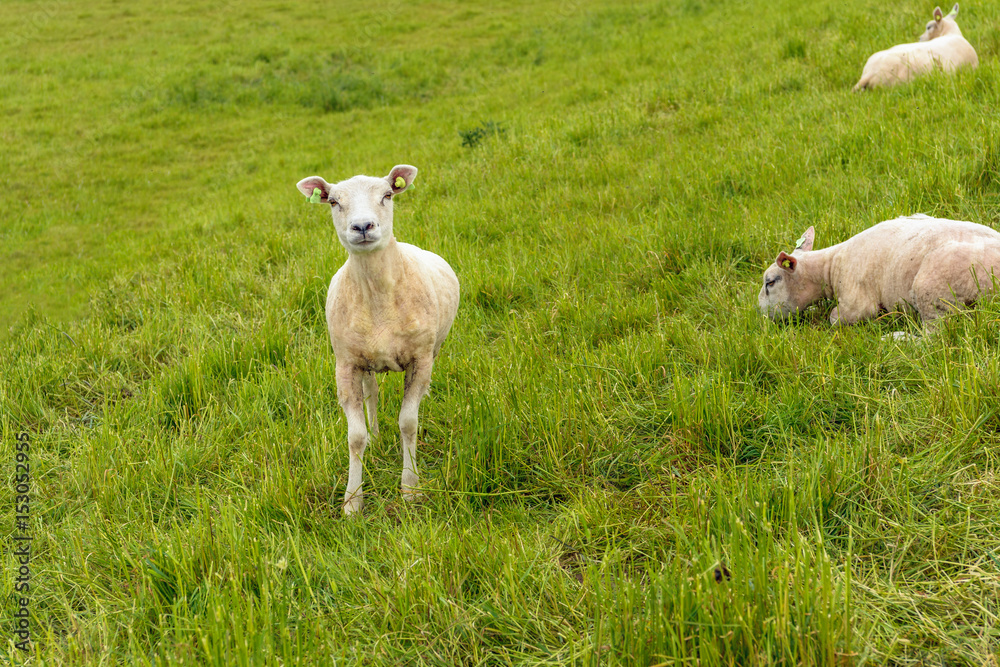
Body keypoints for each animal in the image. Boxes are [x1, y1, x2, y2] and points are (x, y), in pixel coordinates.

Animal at [297, 165, 460, 515]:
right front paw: (352, 501)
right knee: (371, 392)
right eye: (333, 202)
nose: (362, 226)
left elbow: (408, 422)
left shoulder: (420, 358)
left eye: (387, 195)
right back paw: (375, 434)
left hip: (435, 348)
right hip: (365, 361)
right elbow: (354, 437)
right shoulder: (345, 365)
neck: (378, 296)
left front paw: (410, 488)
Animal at [758, 214, 1000, 333]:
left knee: (935, 334)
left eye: (770, 282)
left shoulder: (857, 303)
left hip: (932, 286)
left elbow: (834, 318)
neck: (830, 266)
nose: (759, 315)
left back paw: (893, 337)